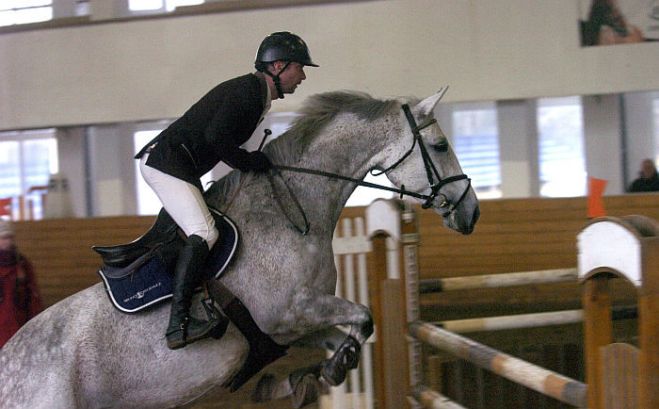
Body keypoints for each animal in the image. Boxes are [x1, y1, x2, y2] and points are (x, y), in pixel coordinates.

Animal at [0, 87, 476, 406]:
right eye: (440, 145)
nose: (471, 212)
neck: (287, 213)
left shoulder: (290, 325)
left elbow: (354, 331)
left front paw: (302, 379)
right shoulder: (292, 310)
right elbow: (364, 317)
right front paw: (322, 372)